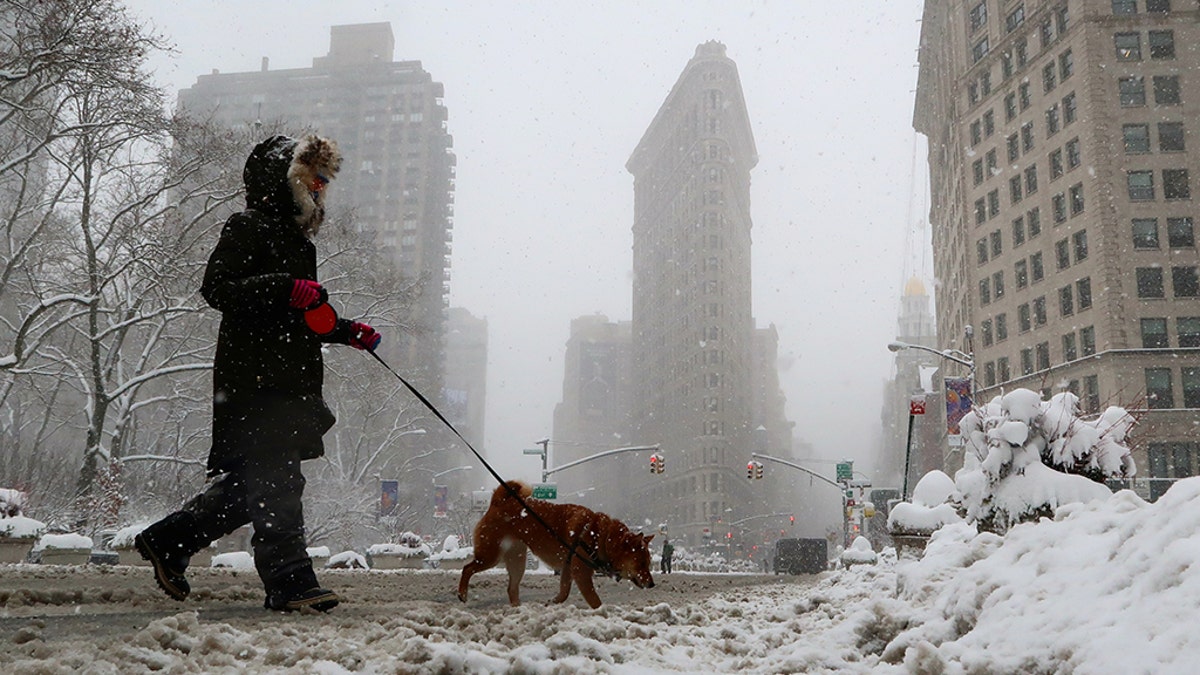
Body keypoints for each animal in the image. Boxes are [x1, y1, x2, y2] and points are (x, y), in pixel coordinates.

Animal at [456, 475, 657, 607]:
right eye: (640, 563)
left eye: (648, 563)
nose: (652, 584)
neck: (601, 537)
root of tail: (498, 502)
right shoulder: (581, 573)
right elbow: (595, 600)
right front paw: (602, 613)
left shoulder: (568, 568)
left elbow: (564, 592)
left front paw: (553, 602)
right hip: (491, 555)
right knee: (467, 568)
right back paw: (462, 594)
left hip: (517, 560)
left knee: (511, 588)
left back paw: (518, 609)